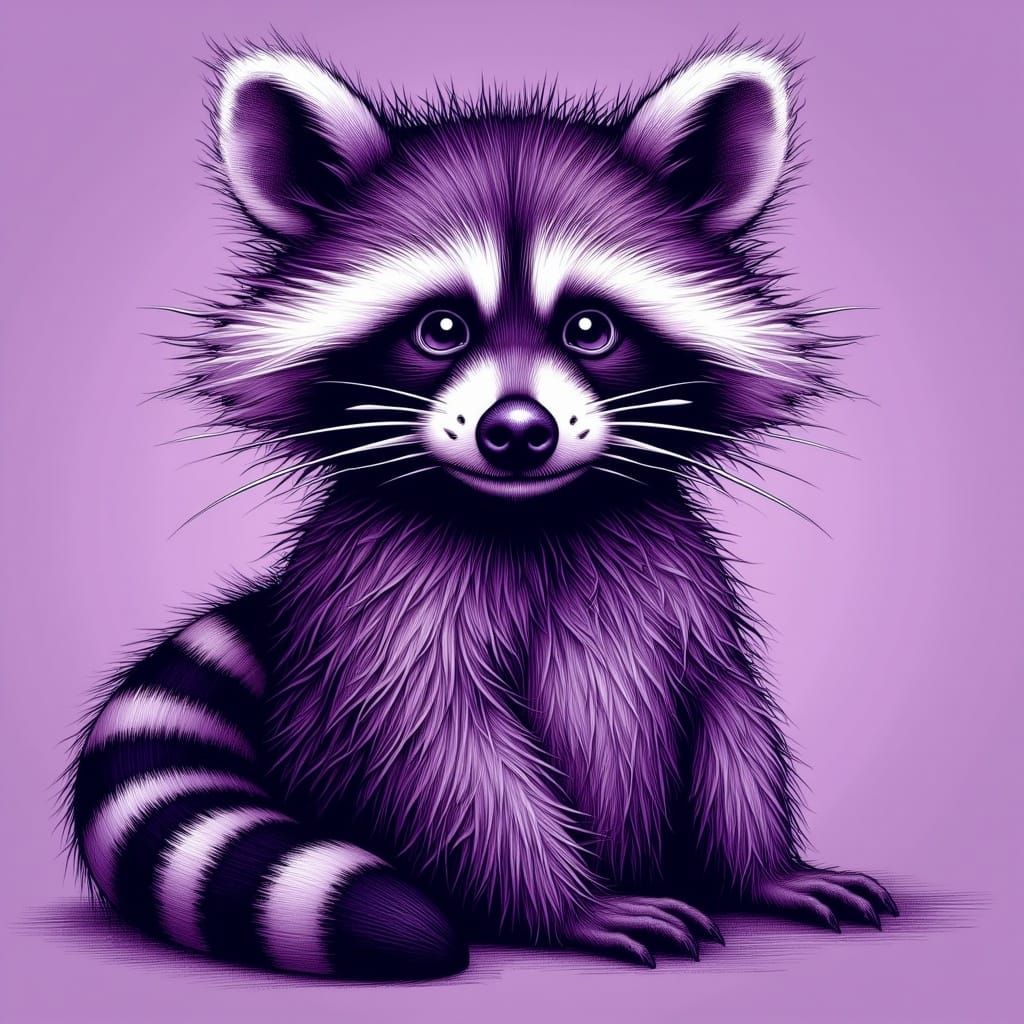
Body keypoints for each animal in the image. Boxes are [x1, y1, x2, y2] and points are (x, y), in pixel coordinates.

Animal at [67, 40, 897, 981]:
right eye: (441, 329)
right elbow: (445, 754)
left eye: (588, 328)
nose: (518, 432)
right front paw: (570, 907)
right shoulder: (385, 598)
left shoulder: (681, 582)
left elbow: (728, 715)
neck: (532, 514)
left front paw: (764, 869)